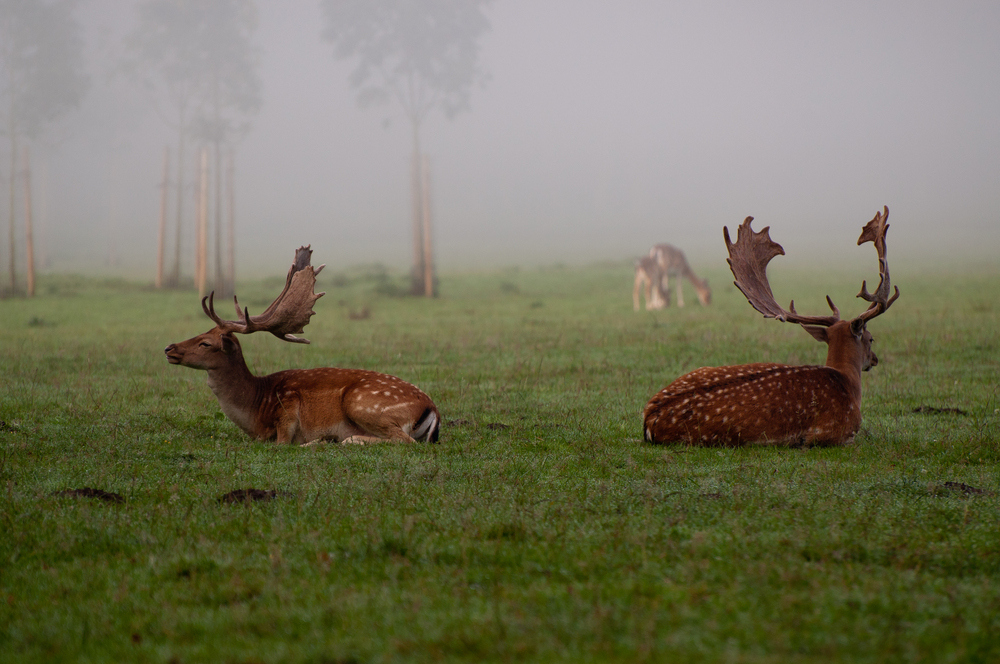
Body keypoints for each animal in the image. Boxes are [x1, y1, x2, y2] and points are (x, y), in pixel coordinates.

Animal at [163, 246, 438, 444]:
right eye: (202, 332)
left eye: (205, 343)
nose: (169, 349)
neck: (256, 409)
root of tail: (432, 408)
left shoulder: (287, 413)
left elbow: (283, 443)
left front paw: (321, 440)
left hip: (362, 404)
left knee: (405, 441)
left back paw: (346, 439)